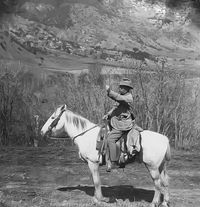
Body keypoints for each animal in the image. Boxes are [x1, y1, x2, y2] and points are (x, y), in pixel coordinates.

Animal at [40, 105, 170, 207]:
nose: (41, 131)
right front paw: (96, 198)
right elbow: (95, 180)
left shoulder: (92, 163)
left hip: (152, 167)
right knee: (164, 182)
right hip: (160, 166)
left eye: (53, 118)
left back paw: (154, 203)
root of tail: (164, 139)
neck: (86, 136)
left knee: (157, 184)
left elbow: (97, 181)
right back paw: (164, 202)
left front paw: (98, 200)